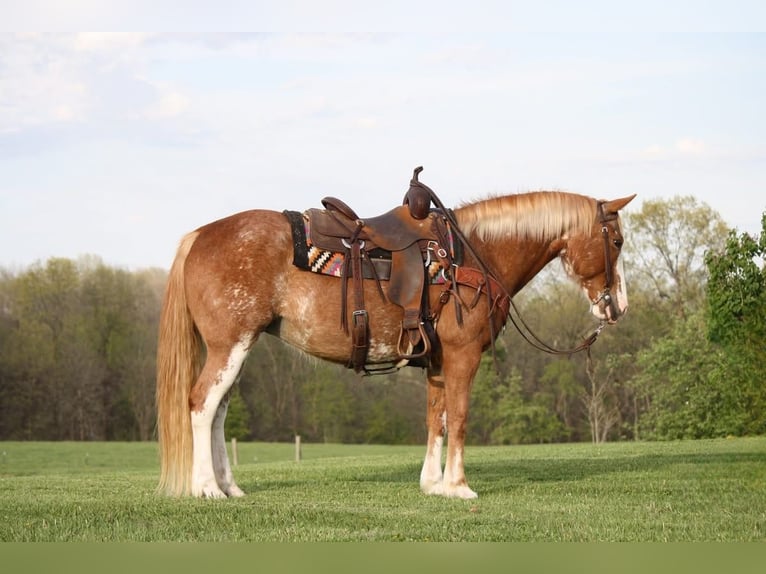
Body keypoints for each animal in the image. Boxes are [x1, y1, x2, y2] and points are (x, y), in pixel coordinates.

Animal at [155, 174, 635, 499]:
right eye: (616, 240)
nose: (617, 306)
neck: (471, 254)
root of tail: (200, 235)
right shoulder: (462, 355)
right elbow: (460, 417)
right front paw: (459, 486)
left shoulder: (437, 361)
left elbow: (436, 418)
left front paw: (433, 484)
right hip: (229, 346)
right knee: (202, 405)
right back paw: (207, 488)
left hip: (239, 347)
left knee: (218, 412)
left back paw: (229, 486)